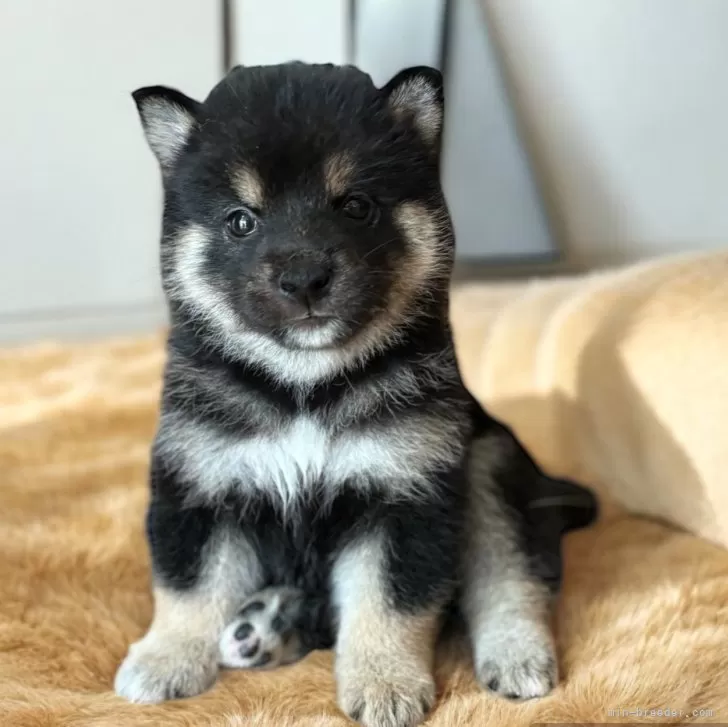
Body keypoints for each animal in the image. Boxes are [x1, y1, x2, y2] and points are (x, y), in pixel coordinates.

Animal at [115, 61, 596, 727]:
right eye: (241, 220)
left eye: (357, 206)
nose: (304, 278)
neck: (304, 389)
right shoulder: (199, 486)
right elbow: (188, 589)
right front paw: (164, 659)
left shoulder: (402, 495)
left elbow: (387, 603)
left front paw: (385, 683)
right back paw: (269, 624)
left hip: (490, 463)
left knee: (509, 579)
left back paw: (517, 654)